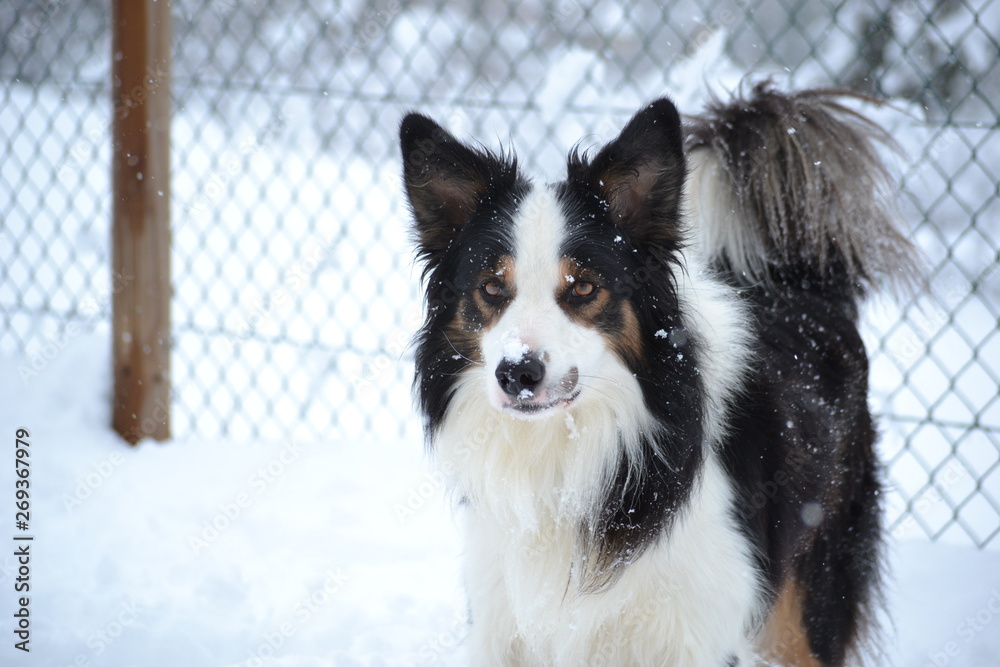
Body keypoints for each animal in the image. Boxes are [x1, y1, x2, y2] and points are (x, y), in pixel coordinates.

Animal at [398, 85, 920, 667]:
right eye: (491, 287)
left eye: (583, 287)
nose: (517, 374)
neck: (569, 451)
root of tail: (802, 283)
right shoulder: (504, 623)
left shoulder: (702, 632)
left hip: (806, 599)